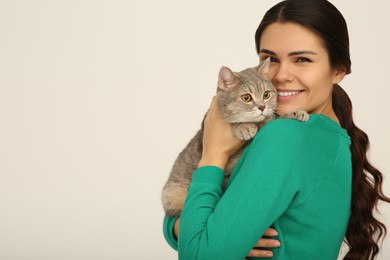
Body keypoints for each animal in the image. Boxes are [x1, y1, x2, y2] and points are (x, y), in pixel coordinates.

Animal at [161, 57, 308, 217]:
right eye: (246, 97)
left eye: (266, 94)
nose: (262, 107)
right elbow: (234, 121)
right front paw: (244, 127)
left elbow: (273, 118)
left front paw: (295, 113)